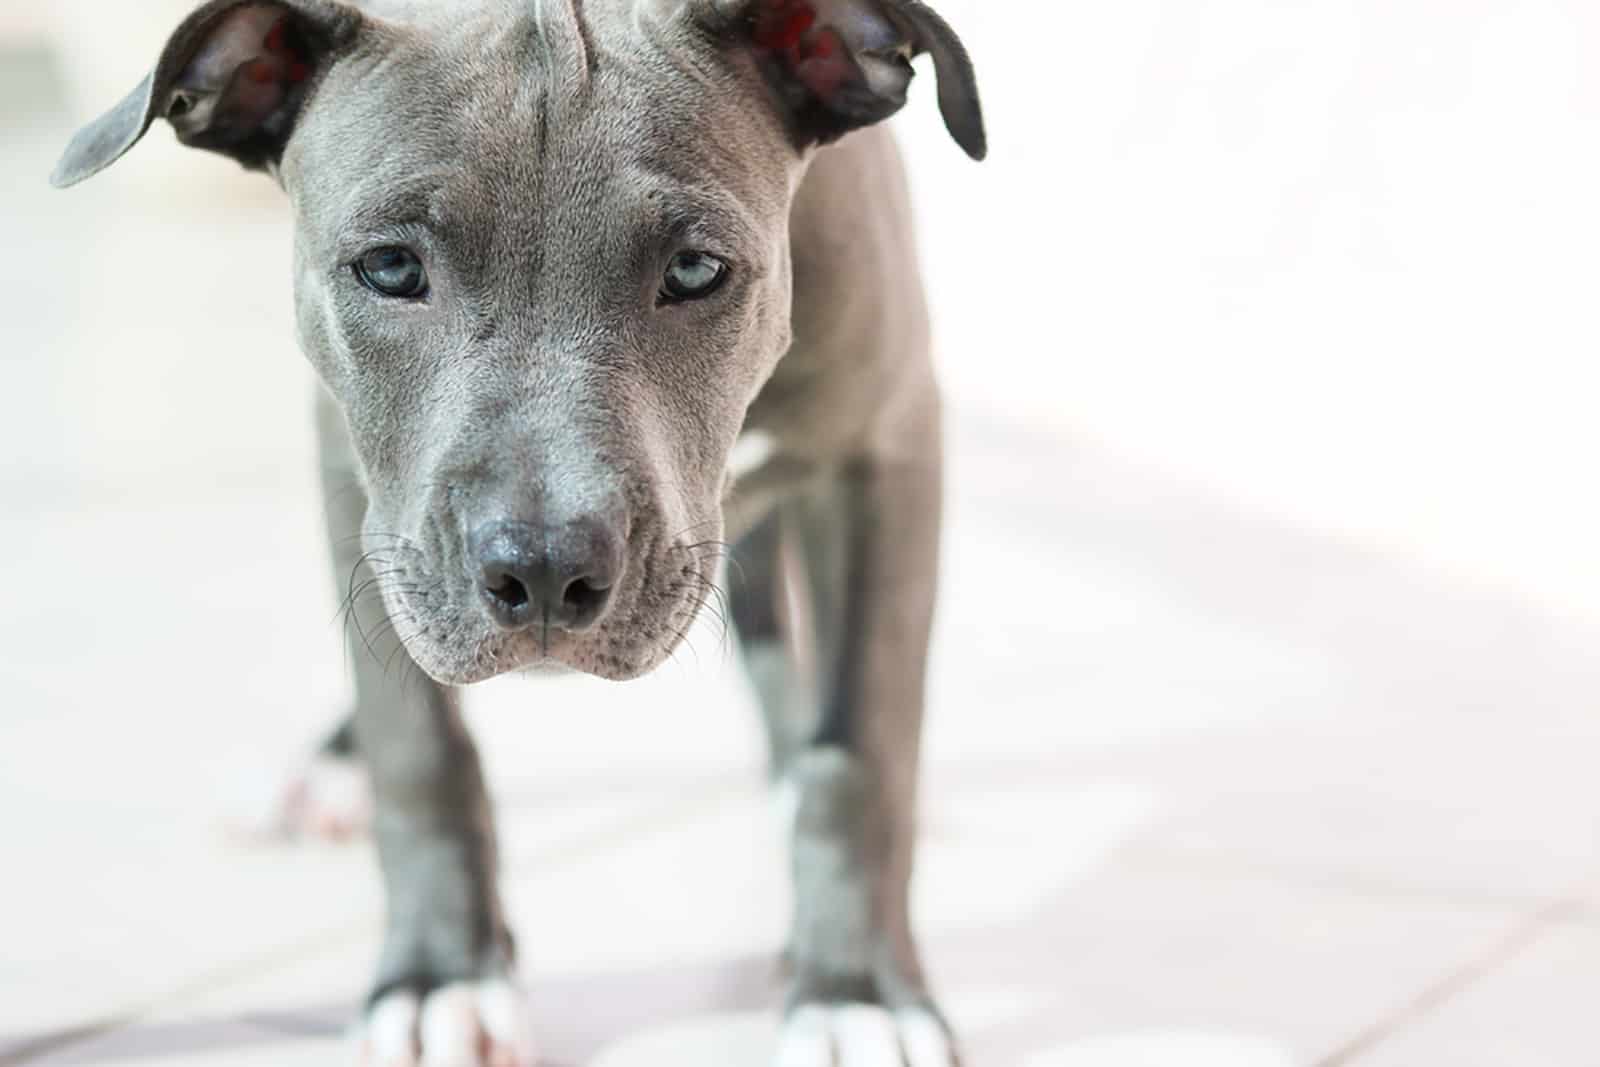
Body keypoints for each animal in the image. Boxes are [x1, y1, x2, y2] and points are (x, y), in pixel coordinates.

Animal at [56, 4, 979, 1062]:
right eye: (390, 267)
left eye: (696, 268)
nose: (542, 573)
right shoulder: (365, 488)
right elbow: (418, 745)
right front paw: (441, 974)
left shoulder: (886, 449)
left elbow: (859, 752)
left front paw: (855, 991)